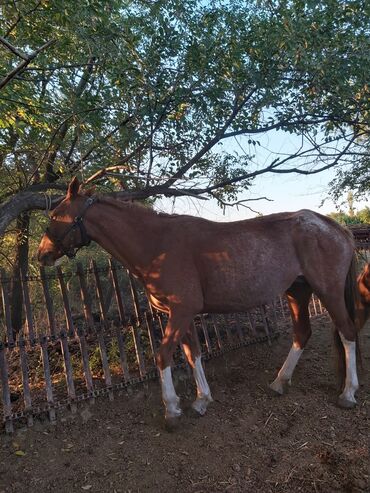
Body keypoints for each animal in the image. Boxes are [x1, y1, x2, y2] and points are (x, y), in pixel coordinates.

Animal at [38, 179, 362, 420]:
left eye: (55, 216)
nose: (41, 254)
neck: (157, 245)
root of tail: (333, 226)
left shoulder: (182, 311)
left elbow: (163, 355)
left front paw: (171, 409)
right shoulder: (182, 315)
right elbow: (192, 353)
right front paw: (201, 399)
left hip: (329, 292)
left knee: (348, 332)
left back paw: (348, 393)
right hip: (297, 292)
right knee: (302, 333)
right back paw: (279, 382)